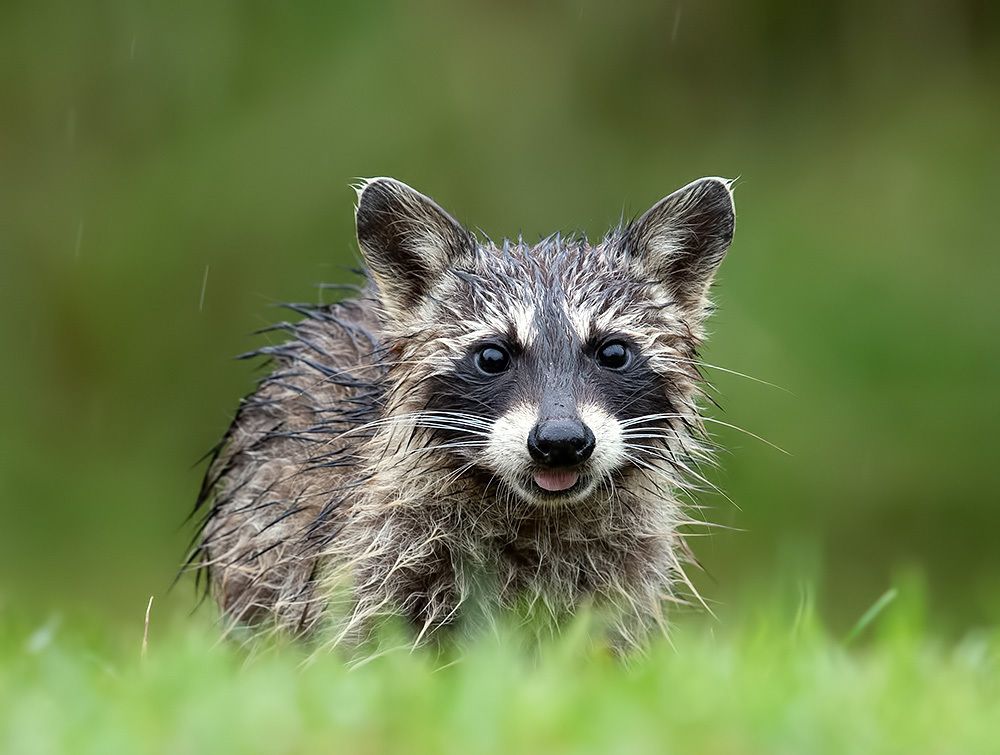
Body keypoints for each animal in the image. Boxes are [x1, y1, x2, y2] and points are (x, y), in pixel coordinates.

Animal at [195, 176, 736, 649]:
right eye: (493, 356)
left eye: (613, 352)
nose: (561, 441)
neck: (535, 513)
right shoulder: (375, 545)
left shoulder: (619, 565)